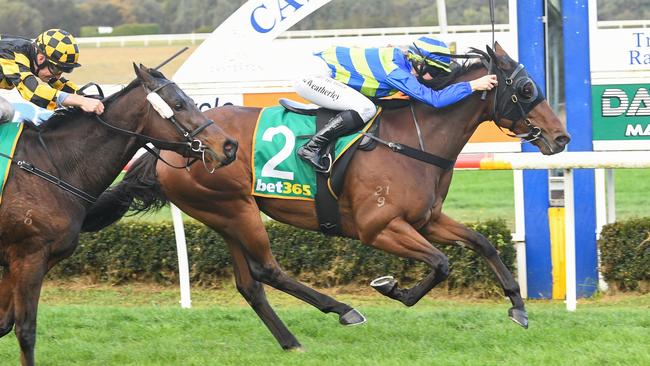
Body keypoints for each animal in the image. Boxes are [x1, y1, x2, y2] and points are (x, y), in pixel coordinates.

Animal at [0, 64, 238, 364]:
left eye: (192, 101)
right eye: (178, 104)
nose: (229, 145)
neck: (50, 165)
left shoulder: (21, 261)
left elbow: (3, 324)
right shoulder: (28, 256)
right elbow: (25, 330)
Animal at [82, 44, 568, 350]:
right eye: (527, 90)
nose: (561, 137)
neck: (414, 140)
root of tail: (171, 150)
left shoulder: (427, 219)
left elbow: (483, 243)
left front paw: (518, 308)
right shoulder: (379, 228)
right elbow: (441, 264)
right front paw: (392, 288)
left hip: (223, 215)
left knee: (249, 284)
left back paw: (290, 342)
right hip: (235, 209)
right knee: (268, 270)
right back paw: (343, 309)